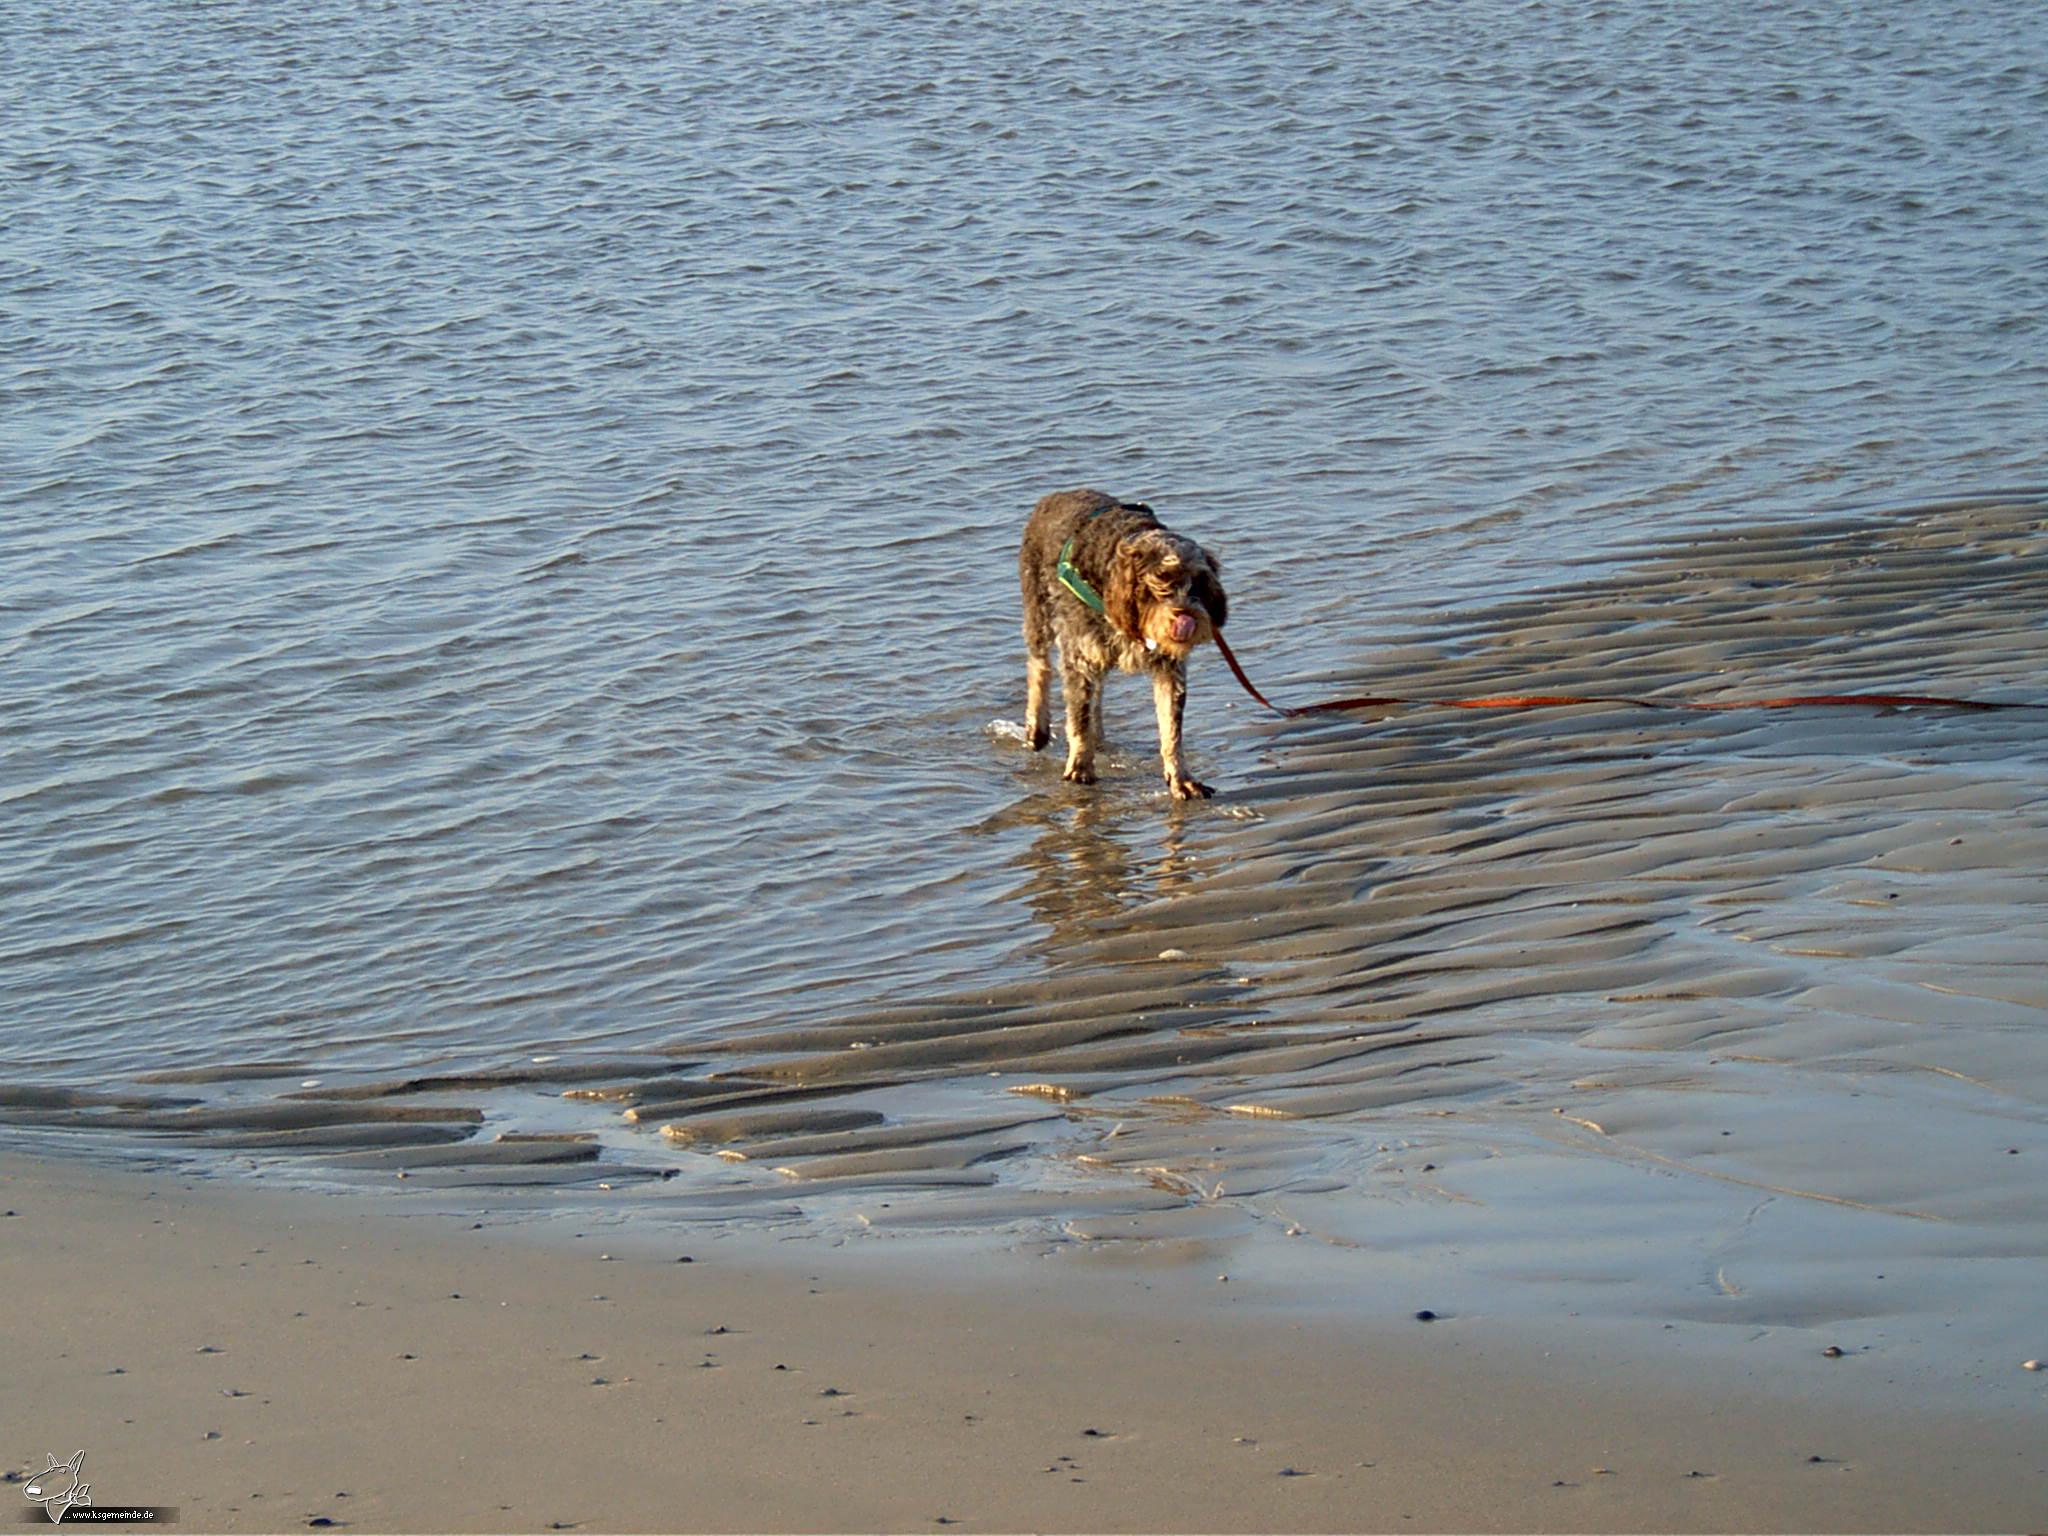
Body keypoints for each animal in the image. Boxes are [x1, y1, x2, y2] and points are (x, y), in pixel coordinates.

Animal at [1015, 489, 1220, 806]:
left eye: (1198, 582)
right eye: (1160, 581)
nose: (1186, 618)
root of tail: (1056, 495)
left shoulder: (1168, 670)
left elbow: (1172, 730)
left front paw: (1181, 779)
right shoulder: (1078, 658)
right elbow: (1078, 717)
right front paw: (1079, 766)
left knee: (1096, 695)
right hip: (1038, 608)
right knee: (1039, 665)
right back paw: (1037, 727)